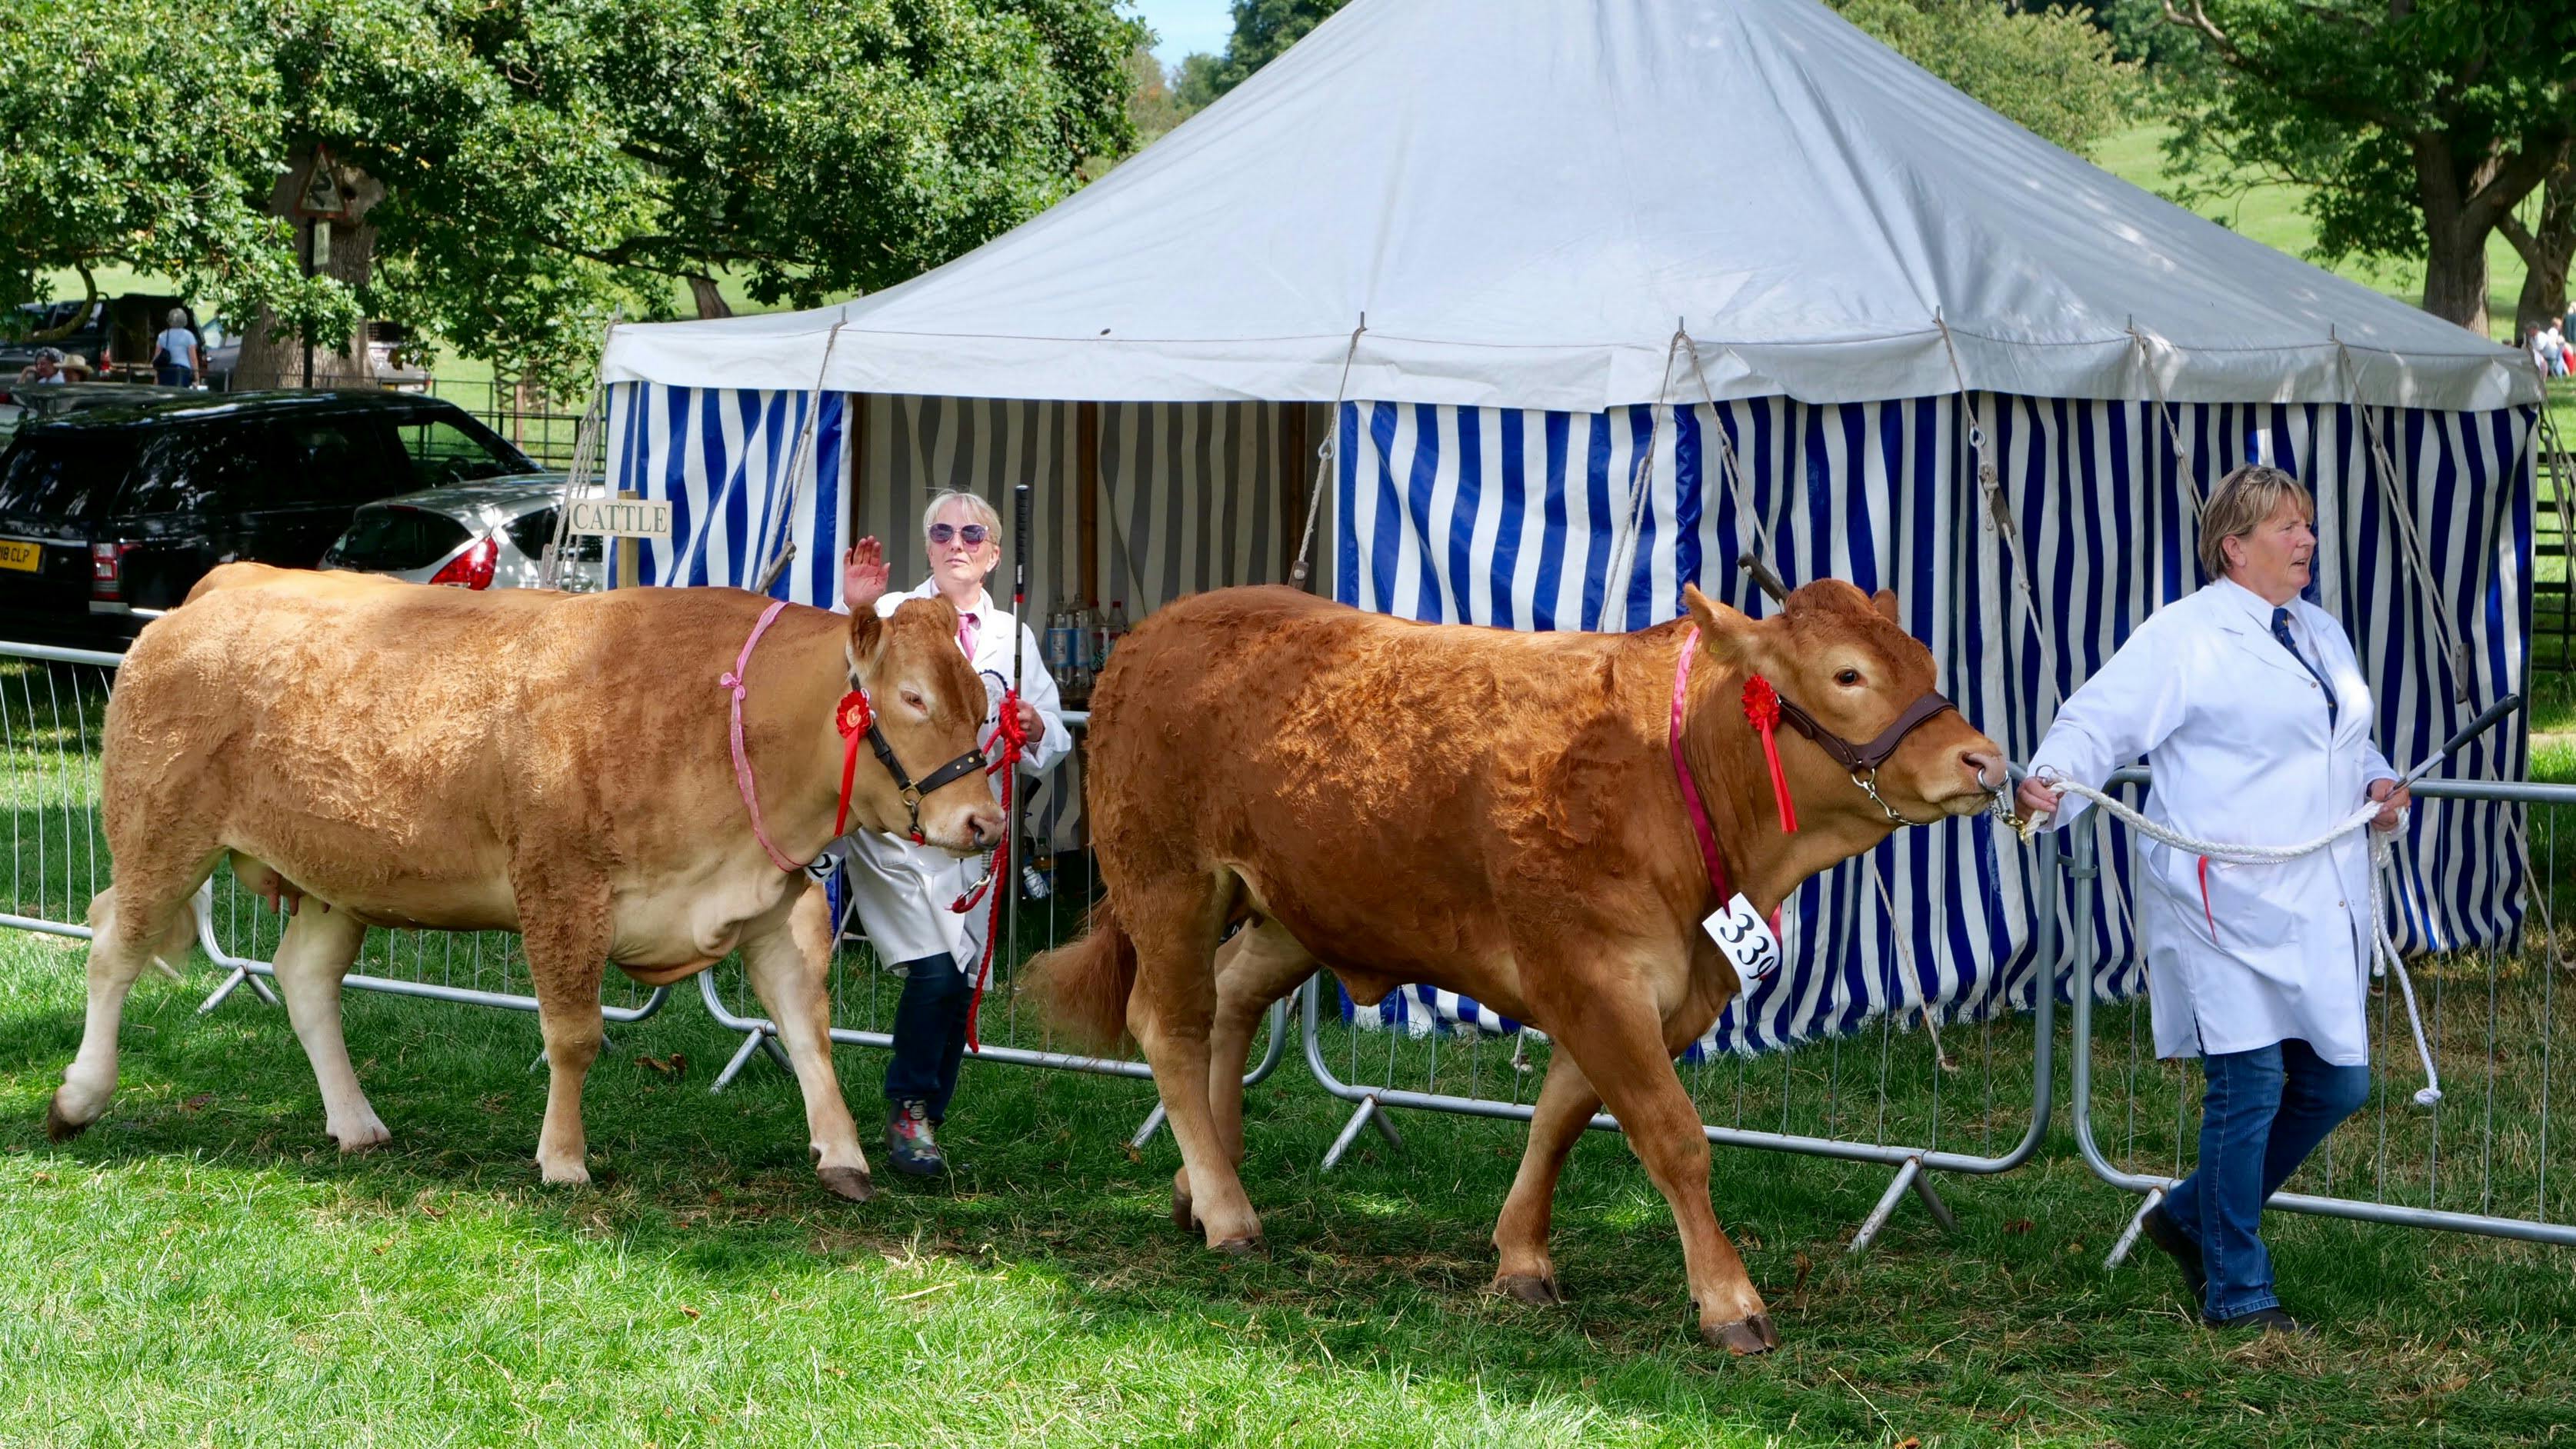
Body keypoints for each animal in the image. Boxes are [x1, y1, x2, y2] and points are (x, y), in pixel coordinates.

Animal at [45, 563, 1002, 1200]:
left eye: (982, 703)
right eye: (913, 699)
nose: (983, 824)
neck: (721, 708)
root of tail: (217, 587)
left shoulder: (772, 900)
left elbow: (808, 1032)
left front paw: (842, 1155)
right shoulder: (560, 884)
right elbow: (574, 1036)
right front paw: (564, 1159)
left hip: (339, 873)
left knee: (304, 980)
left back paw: (356, 1124)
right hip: (162, 831)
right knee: (112, 950)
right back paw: (78, 1098)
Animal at [1027, 580, 2005, 1354]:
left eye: (1924, 660)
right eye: (1847, 675)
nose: (1987, 760)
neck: (1671, 764)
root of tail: (1159, 628)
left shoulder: (1632, 987)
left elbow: (1561, 1117)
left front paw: (1522, 1258)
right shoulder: (1589, 972)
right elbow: (1671, 1136)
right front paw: (1729, 1302)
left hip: (1298, 906)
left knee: (1229, 1002)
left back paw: (1203, 1183)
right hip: (1168, 881)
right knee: (1170, 1026)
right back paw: (1229, 1215)